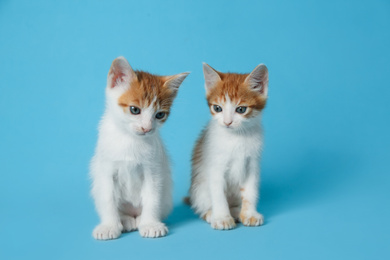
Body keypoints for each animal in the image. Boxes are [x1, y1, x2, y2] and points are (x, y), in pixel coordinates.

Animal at [91, 57, 189, 240]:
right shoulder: (106, 169)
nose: (147, 128)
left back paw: (141, 221)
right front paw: (109, 226)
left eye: (160, 115)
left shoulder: (154, 170)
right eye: (134, 110)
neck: (130, 140)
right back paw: (126, 220)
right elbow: (108, 198)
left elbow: (152, 197)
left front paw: (151, 224)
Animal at [187, 63, 268, 230]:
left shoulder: (252, 164)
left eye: (241, 109)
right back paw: (211, 214)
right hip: (199, 189)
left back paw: (237, 212)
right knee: (201, 205)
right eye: (218, 108)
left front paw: (250, 214)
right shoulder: (215, 165)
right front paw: (222, 218)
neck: (236, 137)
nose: (227, 122)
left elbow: (250, 192)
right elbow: (218, 194)